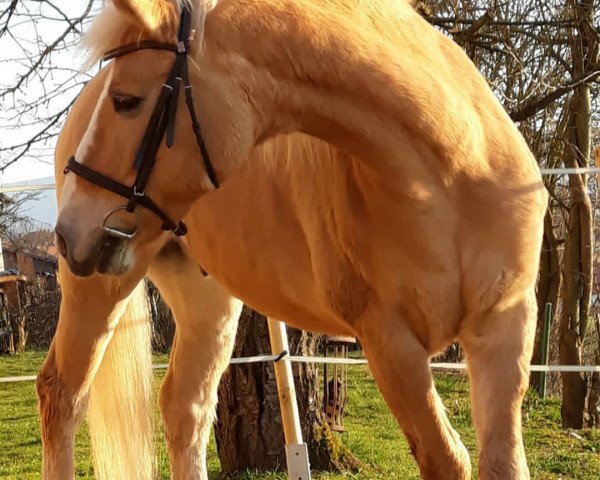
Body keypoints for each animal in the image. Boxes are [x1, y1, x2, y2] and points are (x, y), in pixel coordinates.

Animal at [36, 0, 548, 480]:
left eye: (126, 100)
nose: (68, 231)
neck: (452, 171)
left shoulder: (506, 325)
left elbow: (502, 464)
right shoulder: (390, 341)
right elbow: (446, 459)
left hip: (206, 300)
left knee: (185, 409)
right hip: (100, 287)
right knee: (61, 396)